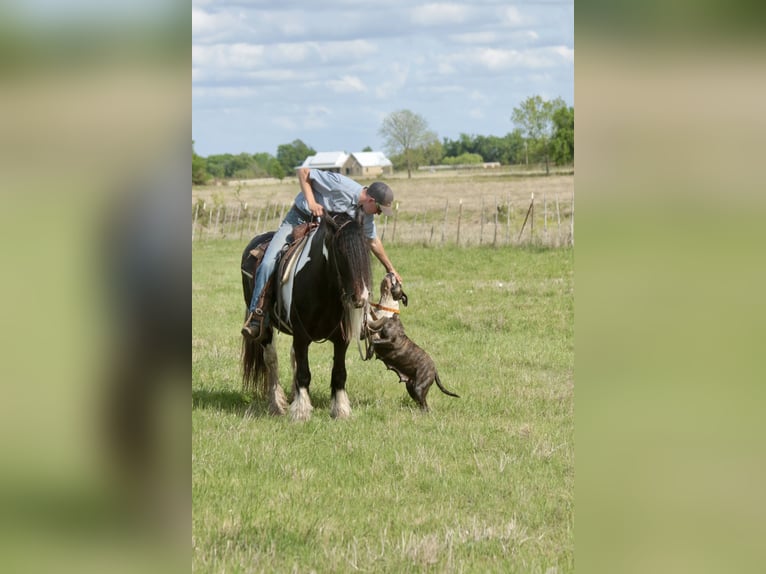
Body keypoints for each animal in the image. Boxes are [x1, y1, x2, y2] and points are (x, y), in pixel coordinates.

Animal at [240, 212, 372, 421]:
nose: (361, 297)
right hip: (264, 328)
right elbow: (303, 373)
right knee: (271, 359)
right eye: (340, 251)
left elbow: (339, 373)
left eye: (366, 249)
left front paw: (340, 410)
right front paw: (301, 411)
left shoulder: (341, 340)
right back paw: (277, 404)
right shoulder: (301, 336)